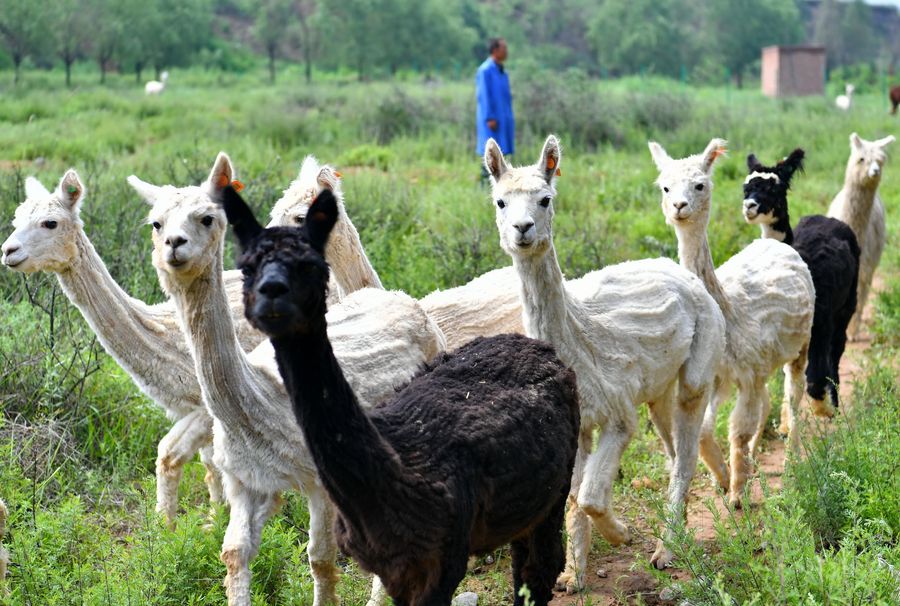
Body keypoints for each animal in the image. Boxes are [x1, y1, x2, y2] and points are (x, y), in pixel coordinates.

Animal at [221, 183, 580, 606]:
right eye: (246, 267)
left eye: (312, 266)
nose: (272, 294)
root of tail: (535, 345)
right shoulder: (393, 565)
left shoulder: (441, 560)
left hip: (555, 487)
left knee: (541, 567)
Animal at [743, 148, 860, 415]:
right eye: (746, 188)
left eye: (774, 189)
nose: (749, 206)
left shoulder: (822, 322)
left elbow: (815, 378)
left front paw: (825, 408)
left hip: (847, 304)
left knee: (837, 346)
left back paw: (834, 401)